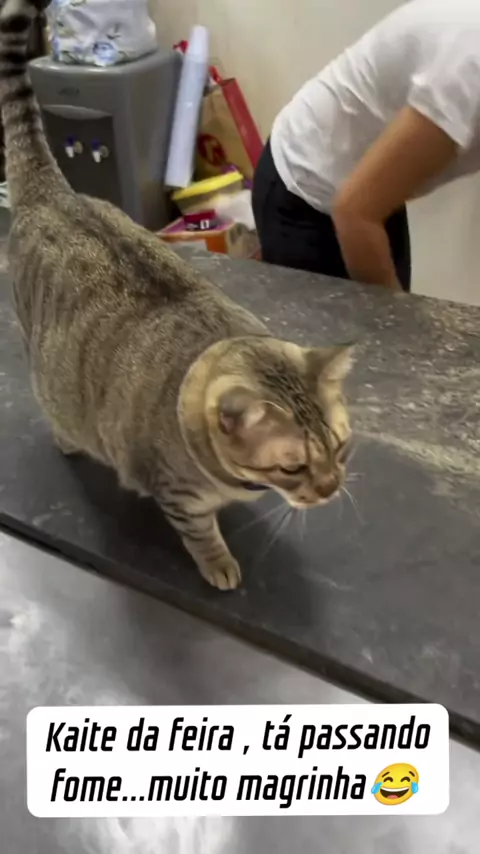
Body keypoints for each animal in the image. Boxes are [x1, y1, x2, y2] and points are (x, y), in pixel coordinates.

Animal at [0, 0, 354, 590]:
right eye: (292, 467)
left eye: (341, 447)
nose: (330, 490)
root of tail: (55, 193)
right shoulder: (177, 494)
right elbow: (200, 533)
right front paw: (219, 563)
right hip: (39, 356)